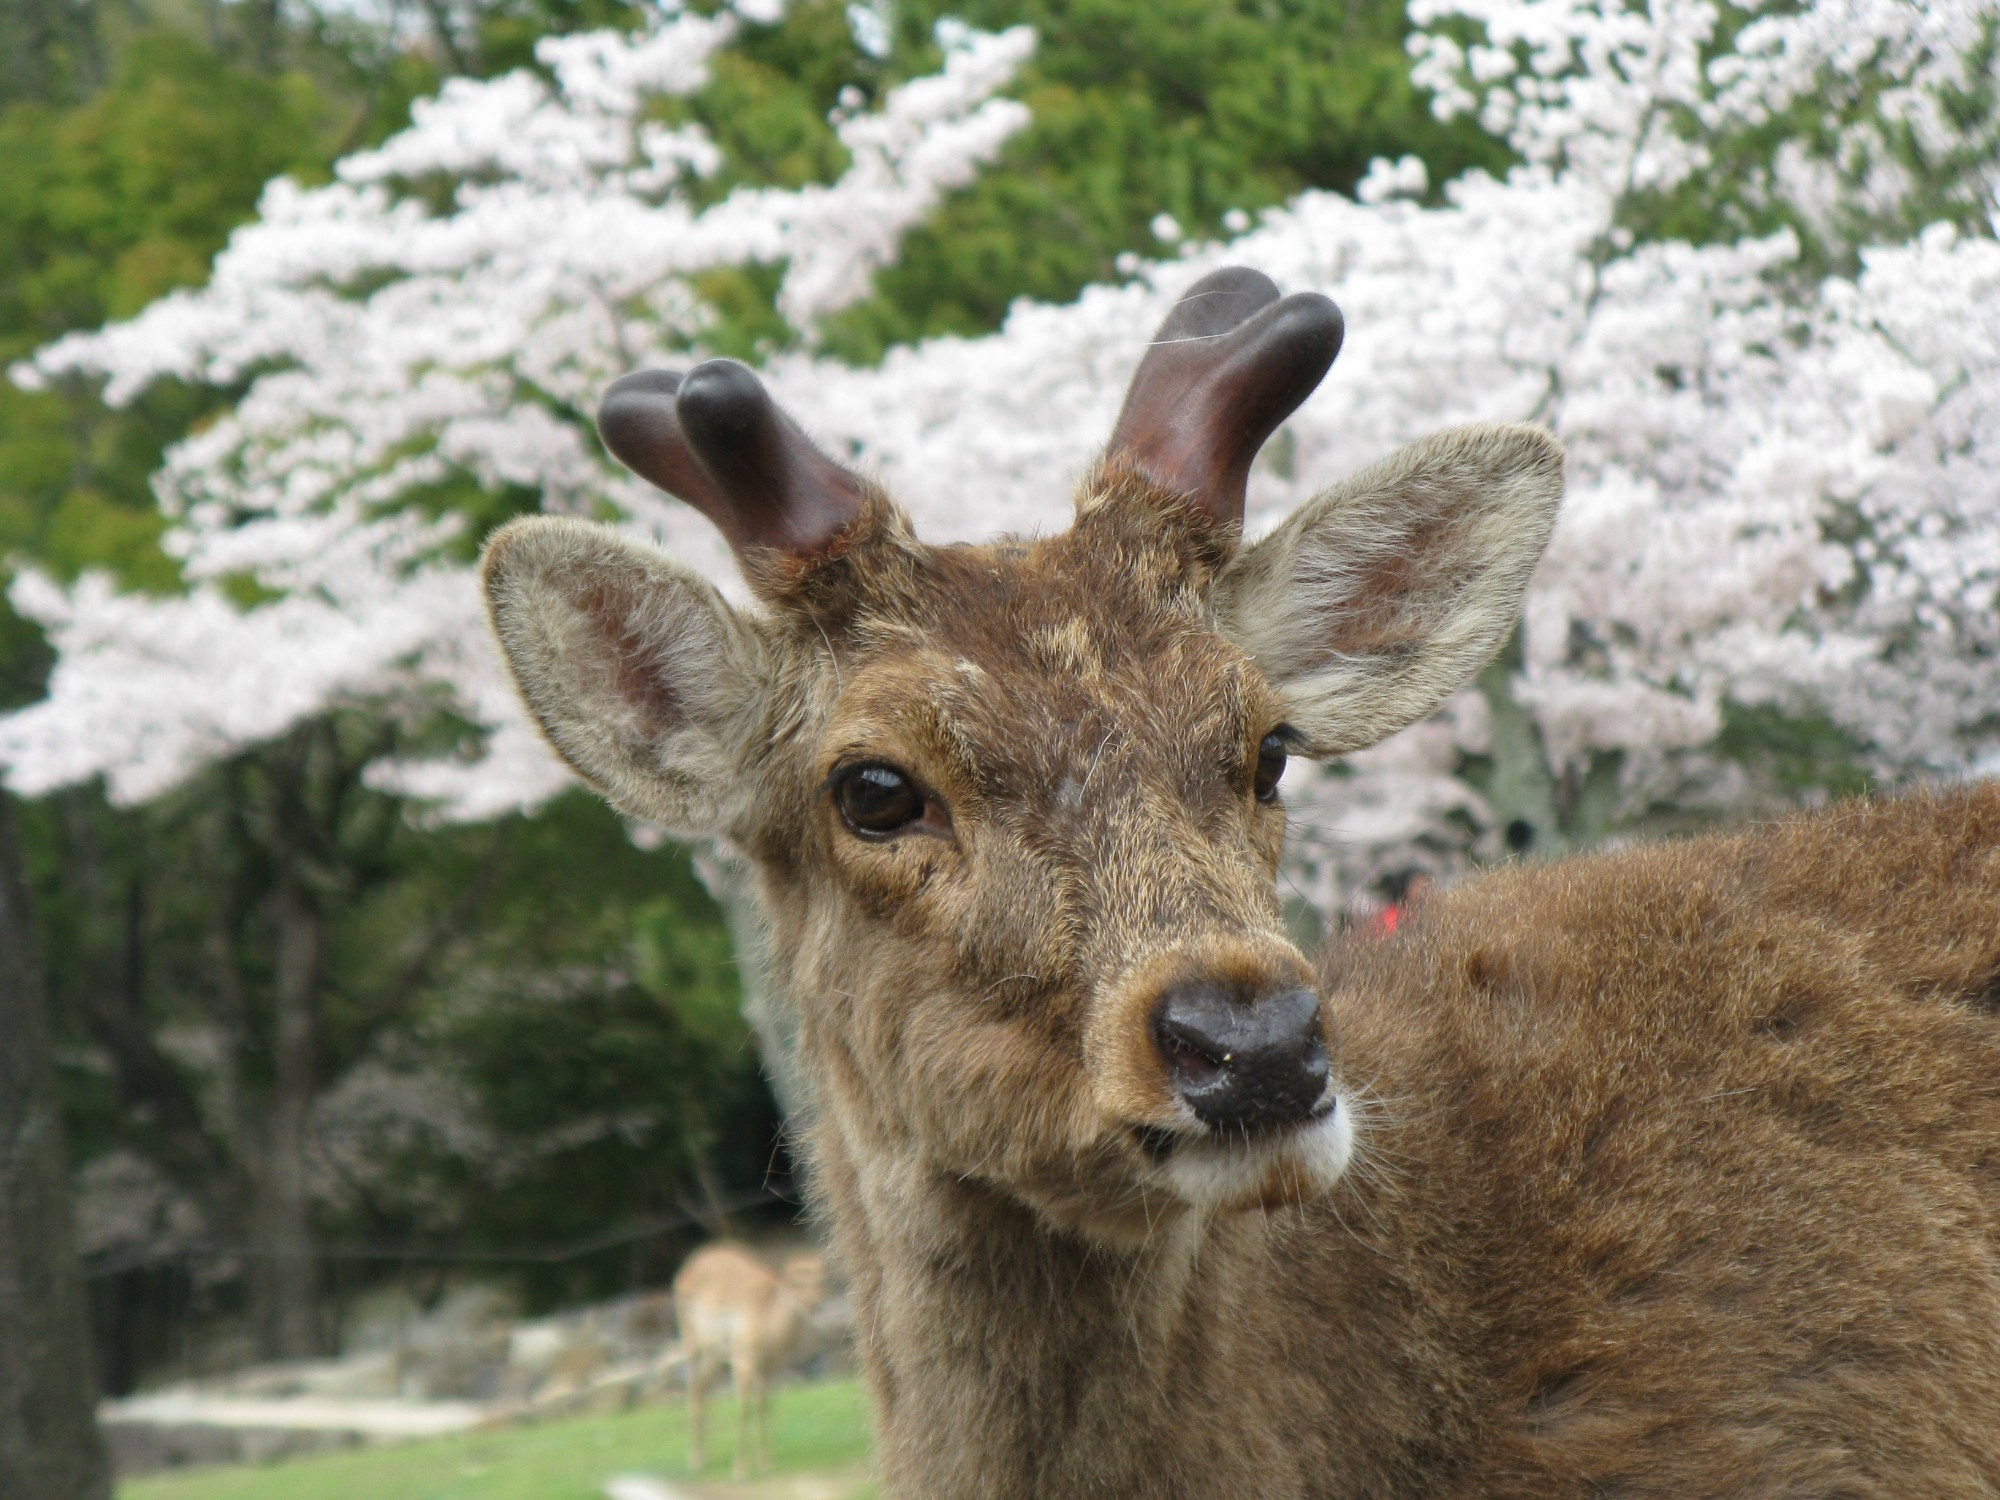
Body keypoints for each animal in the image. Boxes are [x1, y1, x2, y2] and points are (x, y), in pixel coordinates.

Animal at [672, 1248, 828, 1480]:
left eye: (822, 1280)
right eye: (796, 1283)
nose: (815, 1304)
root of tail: (687, 1268)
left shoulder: (769, 1368)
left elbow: (764, 1407)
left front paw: (766, 1463)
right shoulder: (742, 1360)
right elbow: (744, 1408)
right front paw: (740, 1469)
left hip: (714, 1353)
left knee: (703, 1390)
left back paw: (705, 1457)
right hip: (691, 1343)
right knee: (692, 1390)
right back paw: (695, 1461)